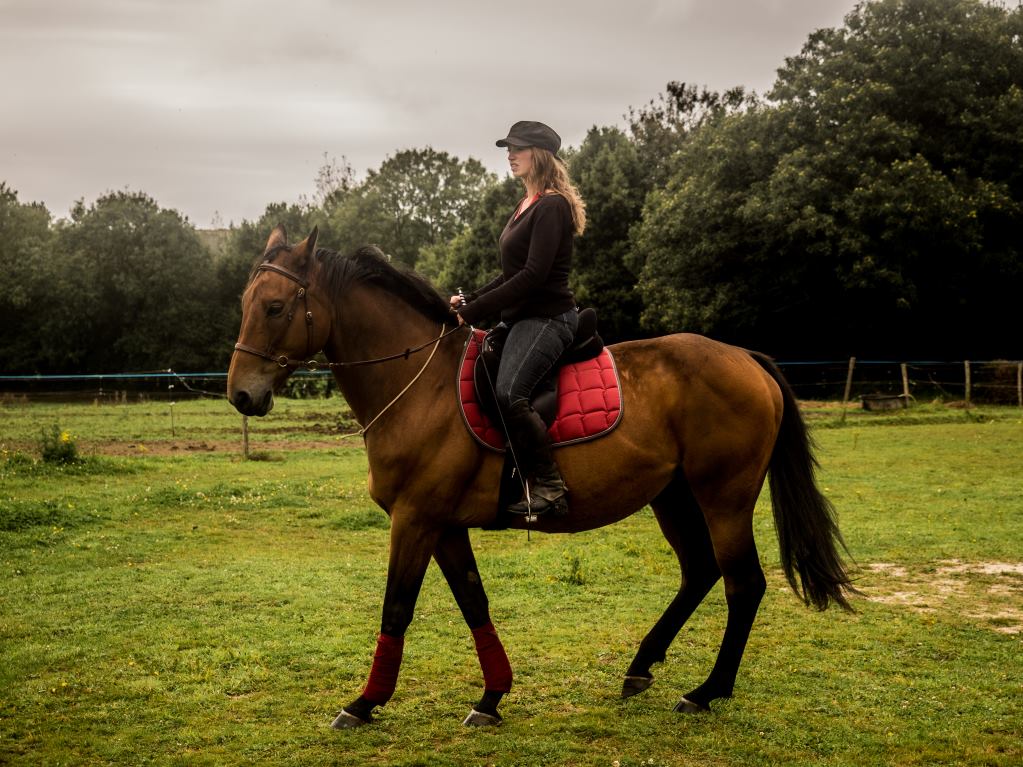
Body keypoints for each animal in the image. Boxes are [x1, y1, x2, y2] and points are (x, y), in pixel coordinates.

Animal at [227, 225, 858, 729]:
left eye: (276, 307)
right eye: (246, 303)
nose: (242, 395)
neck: (419, 386)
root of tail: (746, 358)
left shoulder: (415, 519)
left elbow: (397, 608)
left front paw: (363, 703)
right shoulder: (443, 525)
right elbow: (474, 603)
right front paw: (491, 697)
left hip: (723, 497)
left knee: (742, 584)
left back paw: (707, 691)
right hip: (673, 496)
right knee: (700, 572)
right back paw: (640, 668)